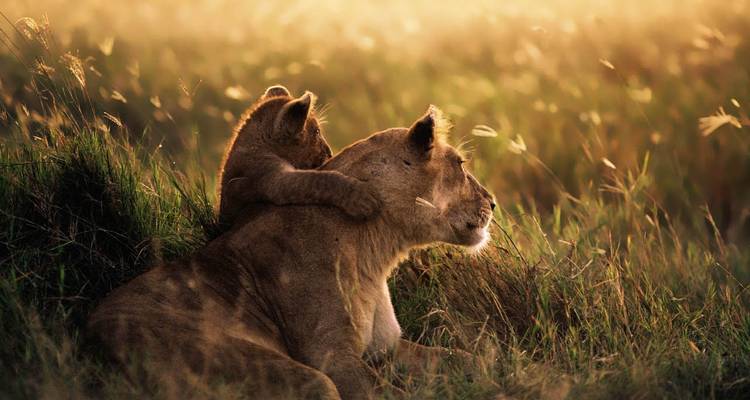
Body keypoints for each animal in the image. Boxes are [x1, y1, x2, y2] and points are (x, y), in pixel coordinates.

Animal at [87, 105, 496, 399]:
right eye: (461, 164)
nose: (492, 202)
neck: (376, 249)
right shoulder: (332, 358)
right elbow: (386, 394)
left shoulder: (387, 348)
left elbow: (466, 359)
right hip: (288, 374)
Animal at [218, 85, 380, 228]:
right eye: (316, 132)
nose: (330, 152)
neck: (259, 145)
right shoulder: (271, 179)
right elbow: (319, 180)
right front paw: (361, 198)